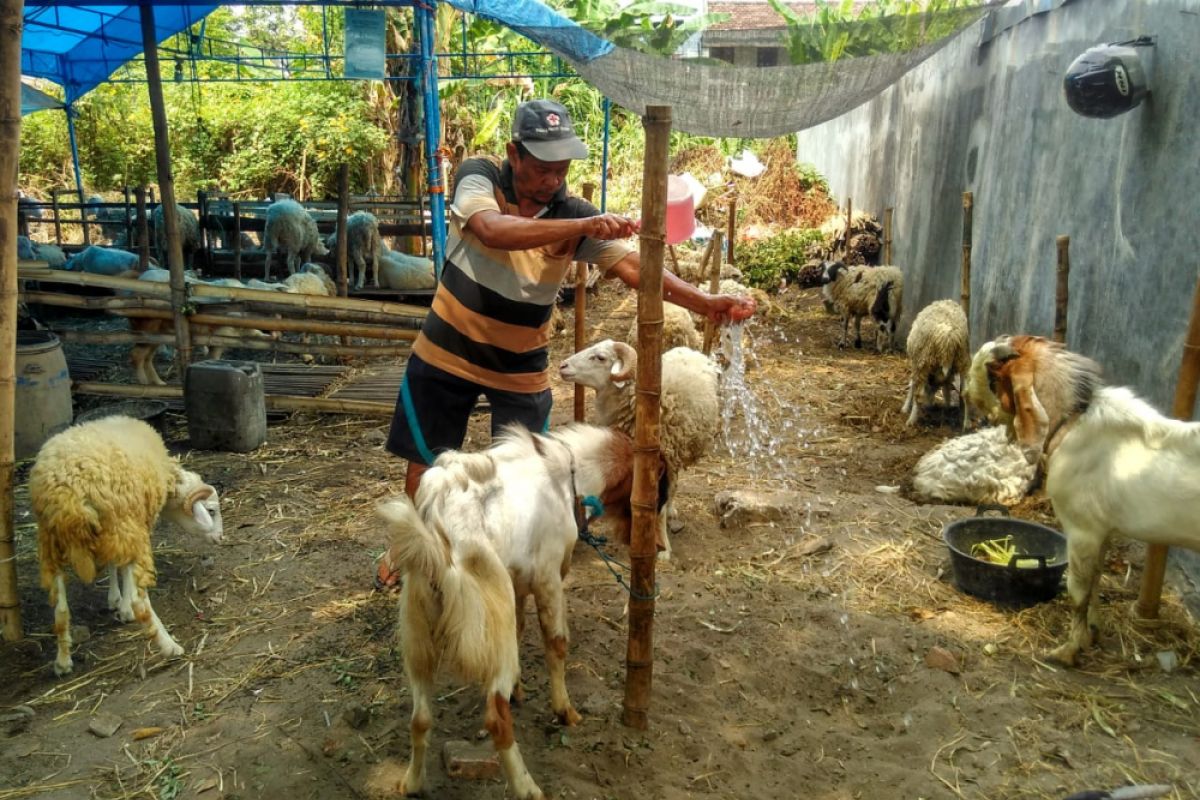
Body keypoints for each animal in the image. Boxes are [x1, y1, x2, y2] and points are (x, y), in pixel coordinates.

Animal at [29, 419, 223, 676]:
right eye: (211, 510)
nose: (220, 537)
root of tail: (69, 493)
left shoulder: (116, 533)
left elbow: (113, 564)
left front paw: (114, 599)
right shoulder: (132, 526)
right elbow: (123, 571)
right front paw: (123, 607)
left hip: (50, 542)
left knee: (60, 612)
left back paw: (62, 662)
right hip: (120, 525)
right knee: (140, 603)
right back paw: (170, 647)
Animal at [376, 422, 667, 796]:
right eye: (659, 490)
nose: (657, 546)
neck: (567, 476)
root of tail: (439, 533)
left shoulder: (517, 584)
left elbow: (522, 628)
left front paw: (519, 689)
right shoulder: (548, 579)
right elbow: (556, 643)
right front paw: (564, 710)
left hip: (419, 633)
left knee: (420, 717)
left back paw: (412, 782)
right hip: (489, 625)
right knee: (496, 718)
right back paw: (527, 787)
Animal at [556, 340, 715, 561]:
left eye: (601, 358)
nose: (562, 366)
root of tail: (687, 349)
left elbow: (659, 507)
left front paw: (663, 549)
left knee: (673, 487)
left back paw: (671, 510)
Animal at [964, 335, 1200, 666]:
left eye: (992, 372)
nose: (968, 395)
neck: (1073, 423)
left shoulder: (1082, 530)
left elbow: (1077, 591)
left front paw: (1068, 650)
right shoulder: (1103, 531)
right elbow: (1096, 581)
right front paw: (1093, 632)